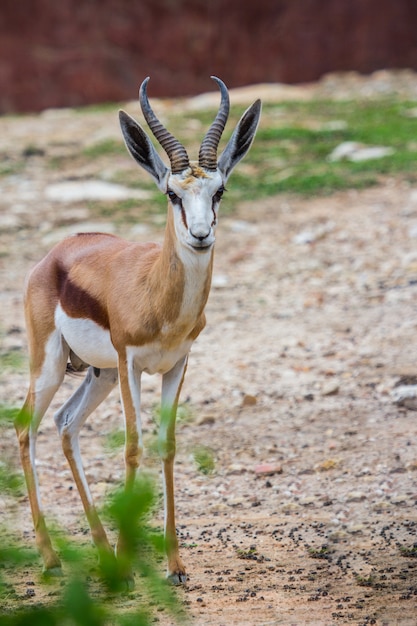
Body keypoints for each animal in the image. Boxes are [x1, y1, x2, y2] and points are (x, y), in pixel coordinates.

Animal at [16, 75, 260, 584]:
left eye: (220, 191)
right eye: (172, 193)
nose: (201, 235)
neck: (159, 297)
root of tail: (54, 254)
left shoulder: (177, 364)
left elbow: (166, 446)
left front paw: (174, 564)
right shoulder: (131, 363)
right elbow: (133, 447)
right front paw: (131, 563)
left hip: (99, 374)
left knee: (65, 423)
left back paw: (102, 550)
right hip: (51, 365)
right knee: (25, 425)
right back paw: (52, 558)